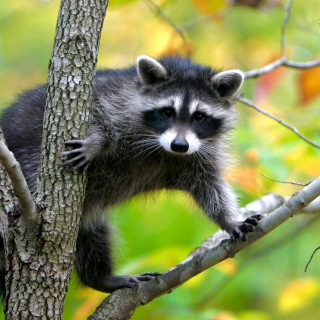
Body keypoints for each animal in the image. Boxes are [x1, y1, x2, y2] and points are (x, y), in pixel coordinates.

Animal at [0, 55, 262, 292]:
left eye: (199, 116)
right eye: (167, 112)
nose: (179, 145)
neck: (163, 149)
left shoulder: (198, 156)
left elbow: (210, 187)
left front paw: (229, 220)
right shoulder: (115, 99)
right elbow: (97, 114)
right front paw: (97, 141)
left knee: (91, 235)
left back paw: (100, 278)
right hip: (28, 161)